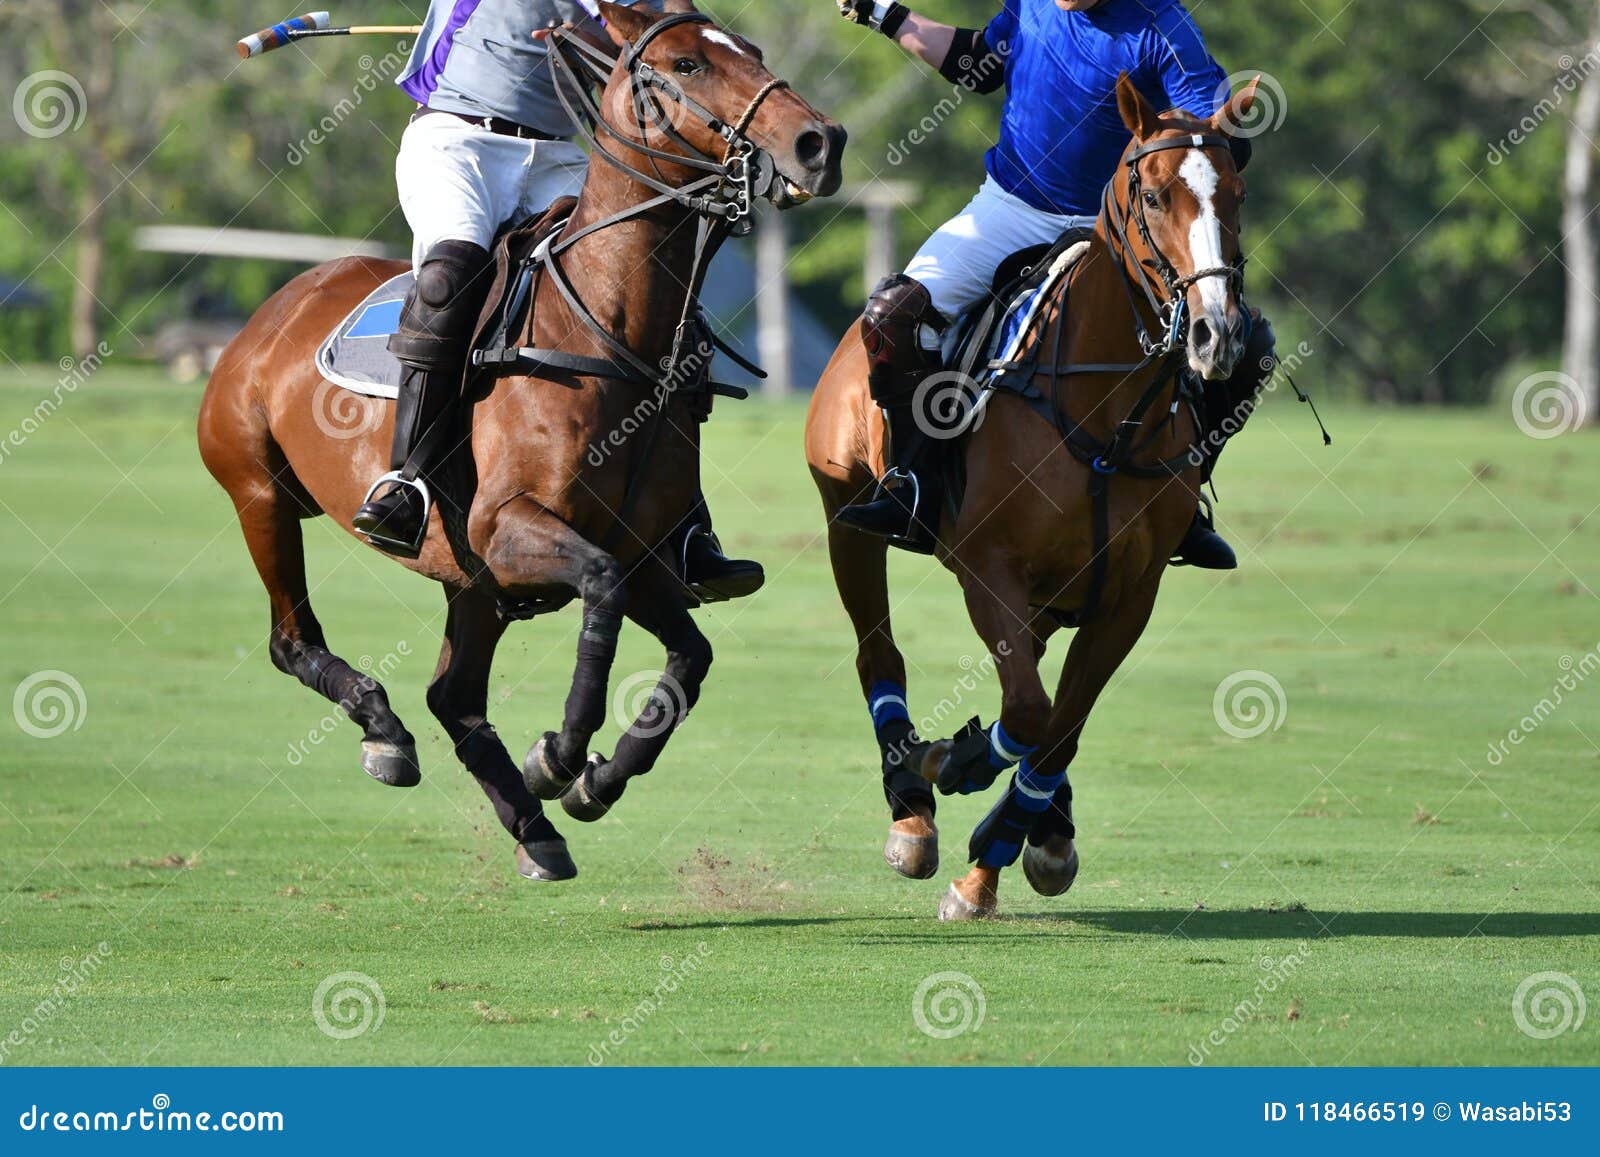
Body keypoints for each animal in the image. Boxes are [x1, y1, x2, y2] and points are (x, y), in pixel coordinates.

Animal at [198, 2, 844, 876]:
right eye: (686, 63)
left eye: (753, 50)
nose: (819, 143)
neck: (608, 331)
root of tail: (272, 309)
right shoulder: (511, 527)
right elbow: (602, 594)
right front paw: (562, 754)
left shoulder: (636, 550)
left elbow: (689, 658)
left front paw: (593, 780)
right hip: (259, 493)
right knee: (291, 639)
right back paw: (384, 727)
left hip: (470, 581)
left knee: (453, 695)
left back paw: (532, 827)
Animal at [806, 74, 1254, 921]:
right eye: (1153, 194)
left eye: (1236, 194)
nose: (1216, 336)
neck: (1108, 415)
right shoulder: (990, 566)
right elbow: (1027, 712)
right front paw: (953, 767)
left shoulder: (1128, 595)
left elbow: (1059, 724)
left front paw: (1005, 849)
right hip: (848, 516)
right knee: (877, 648)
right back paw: (911, 806)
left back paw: (1040, 820)